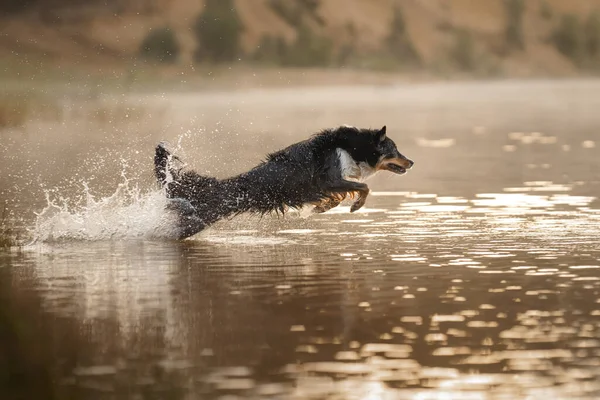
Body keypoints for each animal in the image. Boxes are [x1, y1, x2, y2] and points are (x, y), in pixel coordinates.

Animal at [156, 126, 412, 238]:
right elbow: (363, 187)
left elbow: (339, 197)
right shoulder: (328, 180)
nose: (411, 162)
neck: (351, 148)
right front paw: (356, 206)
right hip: (198, 221)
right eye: (394, 150)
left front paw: (321, 208)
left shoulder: (331, 184)